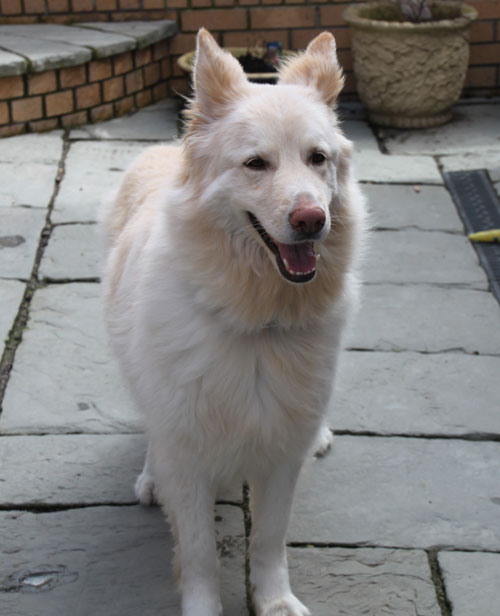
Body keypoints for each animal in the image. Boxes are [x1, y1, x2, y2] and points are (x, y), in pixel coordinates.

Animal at [102, 27, 368, 616]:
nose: (312, 220)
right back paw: (150, 476)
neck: (258, 316)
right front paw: (204, 606)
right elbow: (200, 550)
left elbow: (269, 539)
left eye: (317, 159)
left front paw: (275, 601)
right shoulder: (188, 454)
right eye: (255, 164)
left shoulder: (281, 455)